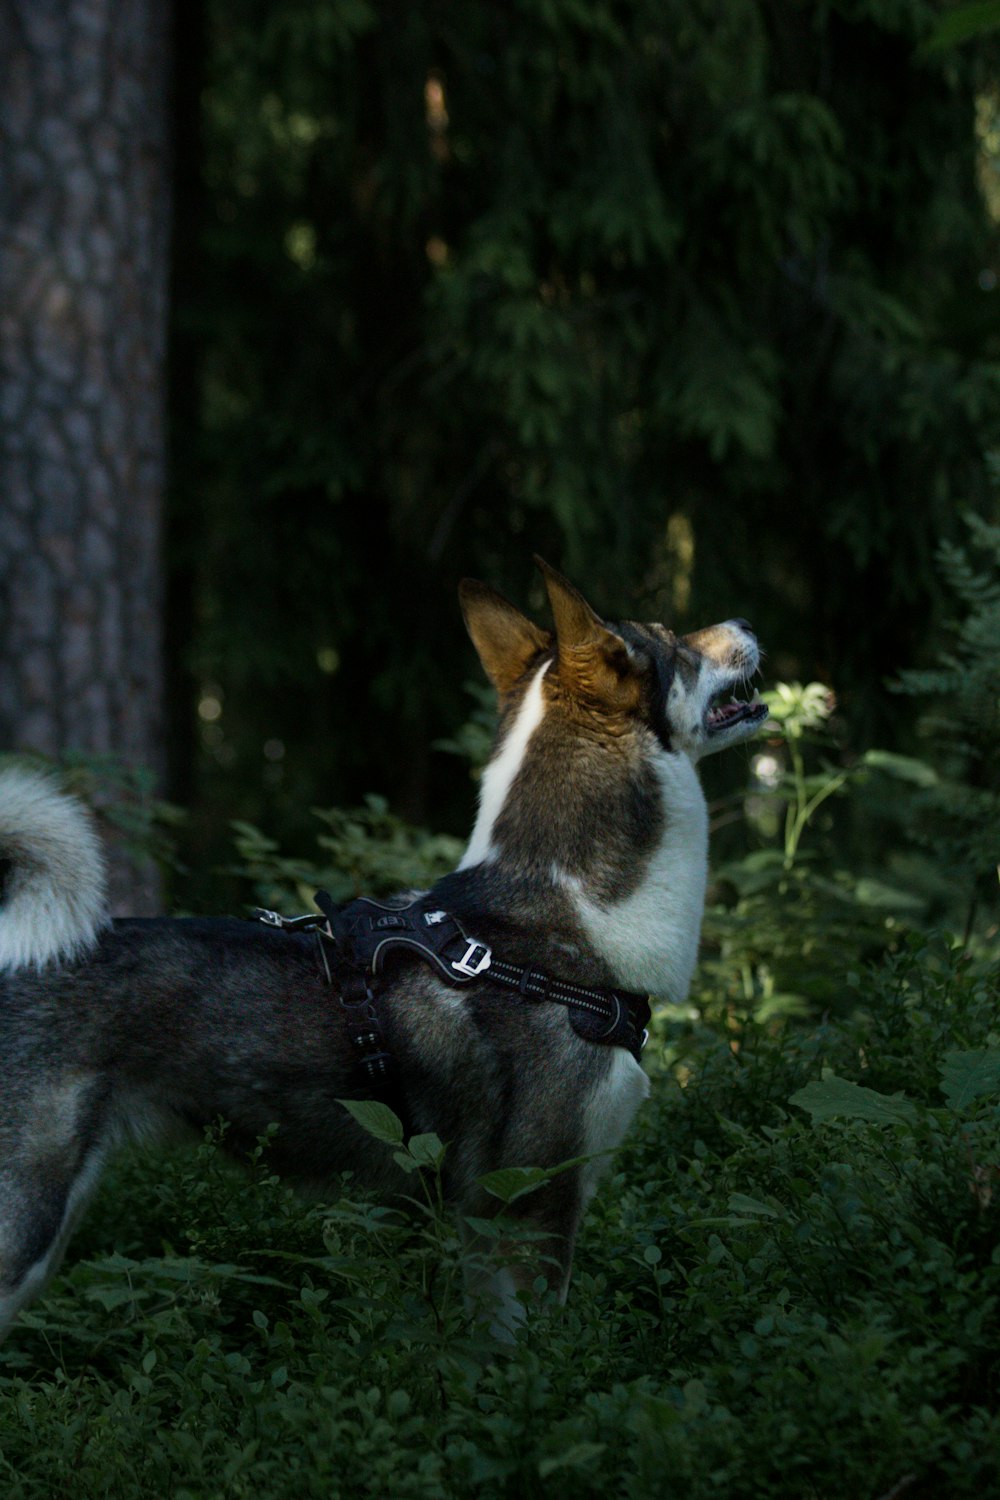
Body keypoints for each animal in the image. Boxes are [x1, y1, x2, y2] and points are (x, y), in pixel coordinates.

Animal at [0, 561, 767, 1338]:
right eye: (674, 641)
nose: (747, 623)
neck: (559, 929)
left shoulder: (486, 1224)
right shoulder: (531, 1206)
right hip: (23, 1224)